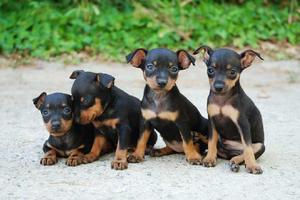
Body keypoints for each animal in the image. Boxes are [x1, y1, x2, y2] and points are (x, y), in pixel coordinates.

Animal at [192, 45, 264, 173]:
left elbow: (248, 148)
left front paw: (252, 166)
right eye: (210, 70)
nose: (218, 87)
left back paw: (235, 162)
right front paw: (209, 159)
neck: (222, 100)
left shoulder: (243, 124)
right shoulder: (212, 121)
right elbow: (211, 142)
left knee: (243, 153)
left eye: (232, 72)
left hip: (260, 145)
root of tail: (228, 153)